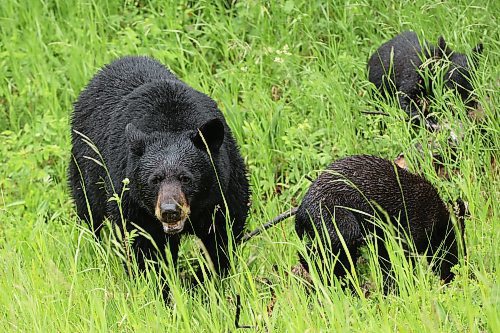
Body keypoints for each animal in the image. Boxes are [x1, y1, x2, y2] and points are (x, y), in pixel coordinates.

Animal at [67, 55, 250, 282]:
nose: (170, 211)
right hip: (86, 168)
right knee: (90, 214)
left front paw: (208, 281)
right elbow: (142, 246)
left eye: (186, 178)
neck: (172, 125)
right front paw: (156, 284)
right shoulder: (132, 201)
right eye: (154, 179)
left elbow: (221, 238)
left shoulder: (225, 190)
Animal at [296, 154, 464, 290]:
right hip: (341, 223)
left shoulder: (385, 239)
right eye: (453, 253)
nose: (452, 277)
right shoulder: (411, 232)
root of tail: (301, 210)